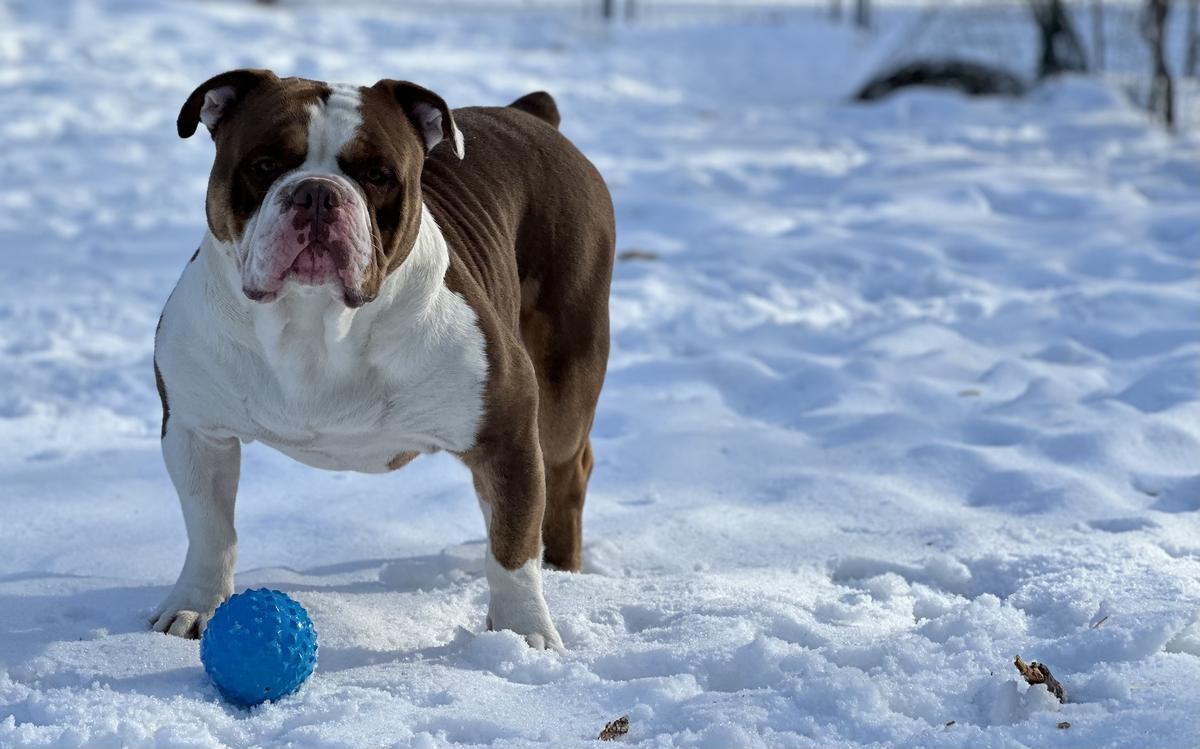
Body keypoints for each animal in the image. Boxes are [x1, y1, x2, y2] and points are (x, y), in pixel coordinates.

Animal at [150, 70, 614, 648]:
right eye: (264, 165)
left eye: (377, 175)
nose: (318, 193)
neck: (316, 323)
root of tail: (531, 114)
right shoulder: (196, 430)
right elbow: (210, 528)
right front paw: (195, 606)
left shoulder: (506, 430)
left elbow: (513, 548)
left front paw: (523, 633)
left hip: (562, 385)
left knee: (568, 470)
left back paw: (564, 571)